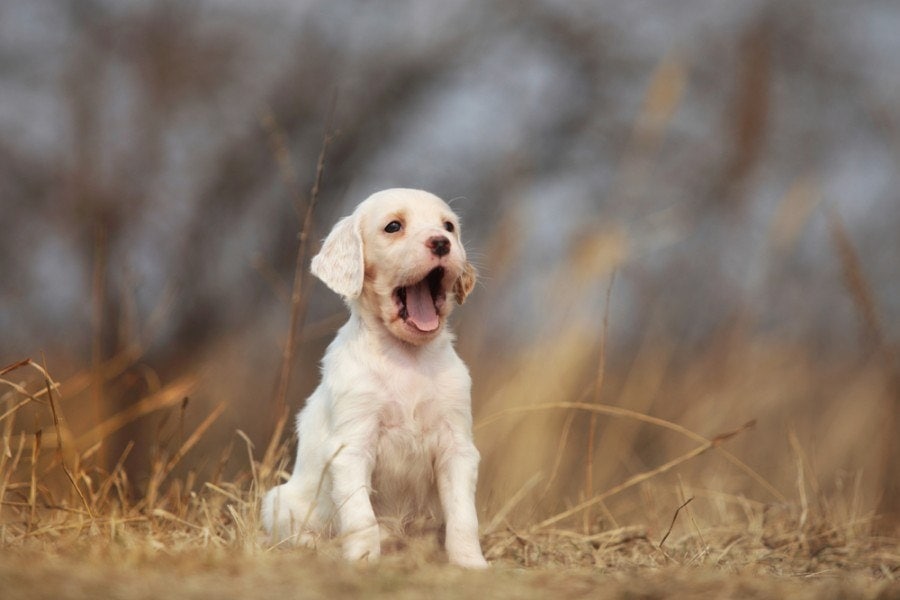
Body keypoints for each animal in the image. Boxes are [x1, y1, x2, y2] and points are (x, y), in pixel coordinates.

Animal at [262, 188, 486, 568]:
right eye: (393, 226)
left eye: (449, 227)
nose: (442, 243)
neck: (407, 357)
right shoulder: (352, 446)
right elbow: (361, 516)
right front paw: (363, 560)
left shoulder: (457, 446)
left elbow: (463, 516)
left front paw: (470, 563)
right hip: (278, 503)